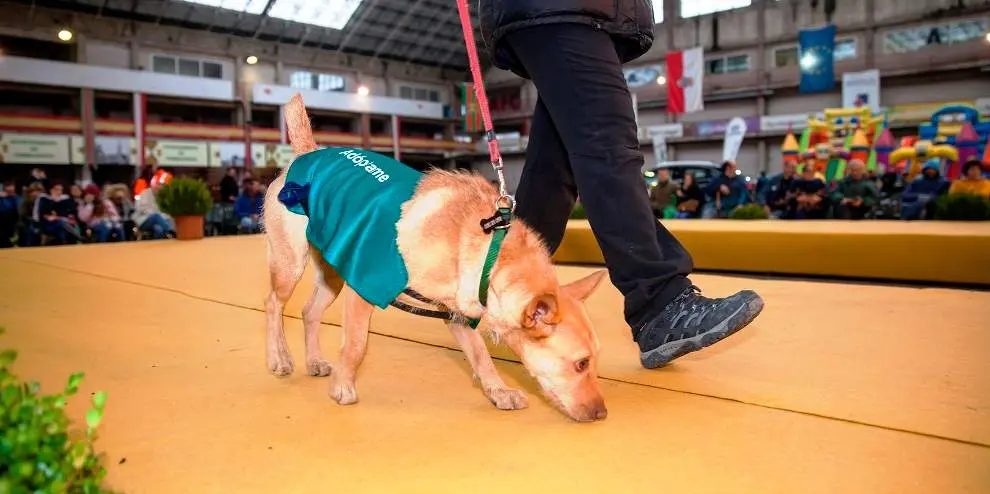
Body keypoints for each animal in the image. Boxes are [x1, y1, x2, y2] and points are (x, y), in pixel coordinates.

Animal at [260, 94, 608, 422]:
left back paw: (314, 360)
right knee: (273, 304)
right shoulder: (364, 288)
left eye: (594, 360)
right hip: (290, 265)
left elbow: (481, 355)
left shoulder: (459, 314)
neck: (488, 250)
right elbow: (357, 344)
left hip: (331, 273)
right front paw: (343, 386)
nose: (601, 414)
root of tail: (307, 153)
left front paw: (498, 391)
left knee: (308, 312)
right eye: (581, 364)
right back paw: (279, 357)